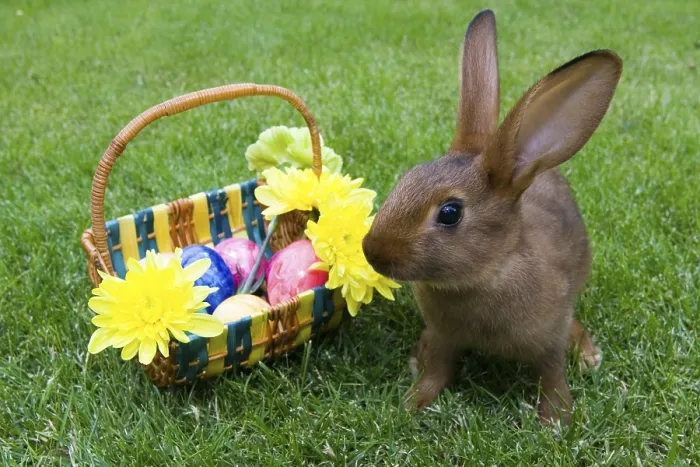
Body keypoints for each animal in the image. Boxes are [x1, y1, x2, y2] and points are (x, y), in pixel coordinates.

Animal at [361, 9, 622, 426]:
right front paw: (413, 403)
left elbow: (551, 375)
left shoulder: (548, 340)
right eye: (407, 177)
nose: (373, 252)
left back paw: (588, 356)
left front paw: (556, 421)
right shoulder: (444, 336)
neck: (486, 273)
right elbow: (438, 369)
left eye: (450, 212)